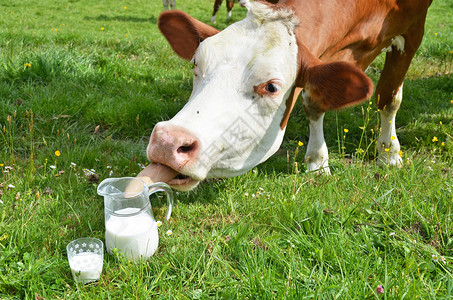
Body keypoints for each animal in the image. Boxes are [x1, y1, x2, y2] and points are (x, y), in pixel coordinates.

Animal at [139, 0, 432, 191]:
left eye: (271, 87)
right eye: (195, 65)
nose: (167, 142)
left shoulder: (413, 30)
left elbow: (389, 98)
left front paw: (389, 153)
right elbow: (314, 102)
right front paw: (317, 160)